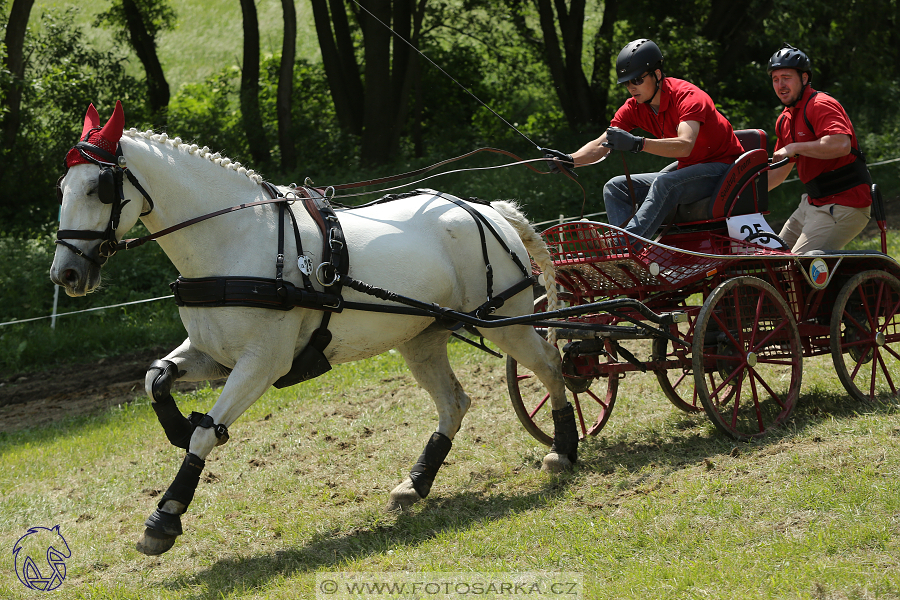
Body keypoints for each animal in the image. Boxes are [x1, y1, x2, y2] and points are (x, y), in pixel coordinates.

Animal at [49, 103, 576, 556]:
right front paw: (177, 424)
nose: (66, 275)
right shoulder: (211, 352)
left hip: (505, 322)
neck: (235, 242)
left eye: (99, 187)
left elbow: (205, 435)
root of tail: (487, 209)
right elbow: (155, 377)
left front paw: (165, 518)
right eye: (62, 187)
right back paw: (415, 483)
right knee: (455, 402)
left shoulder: (263, 362)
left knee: (552, 366)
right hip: (420, 337)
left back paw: (563, 450)